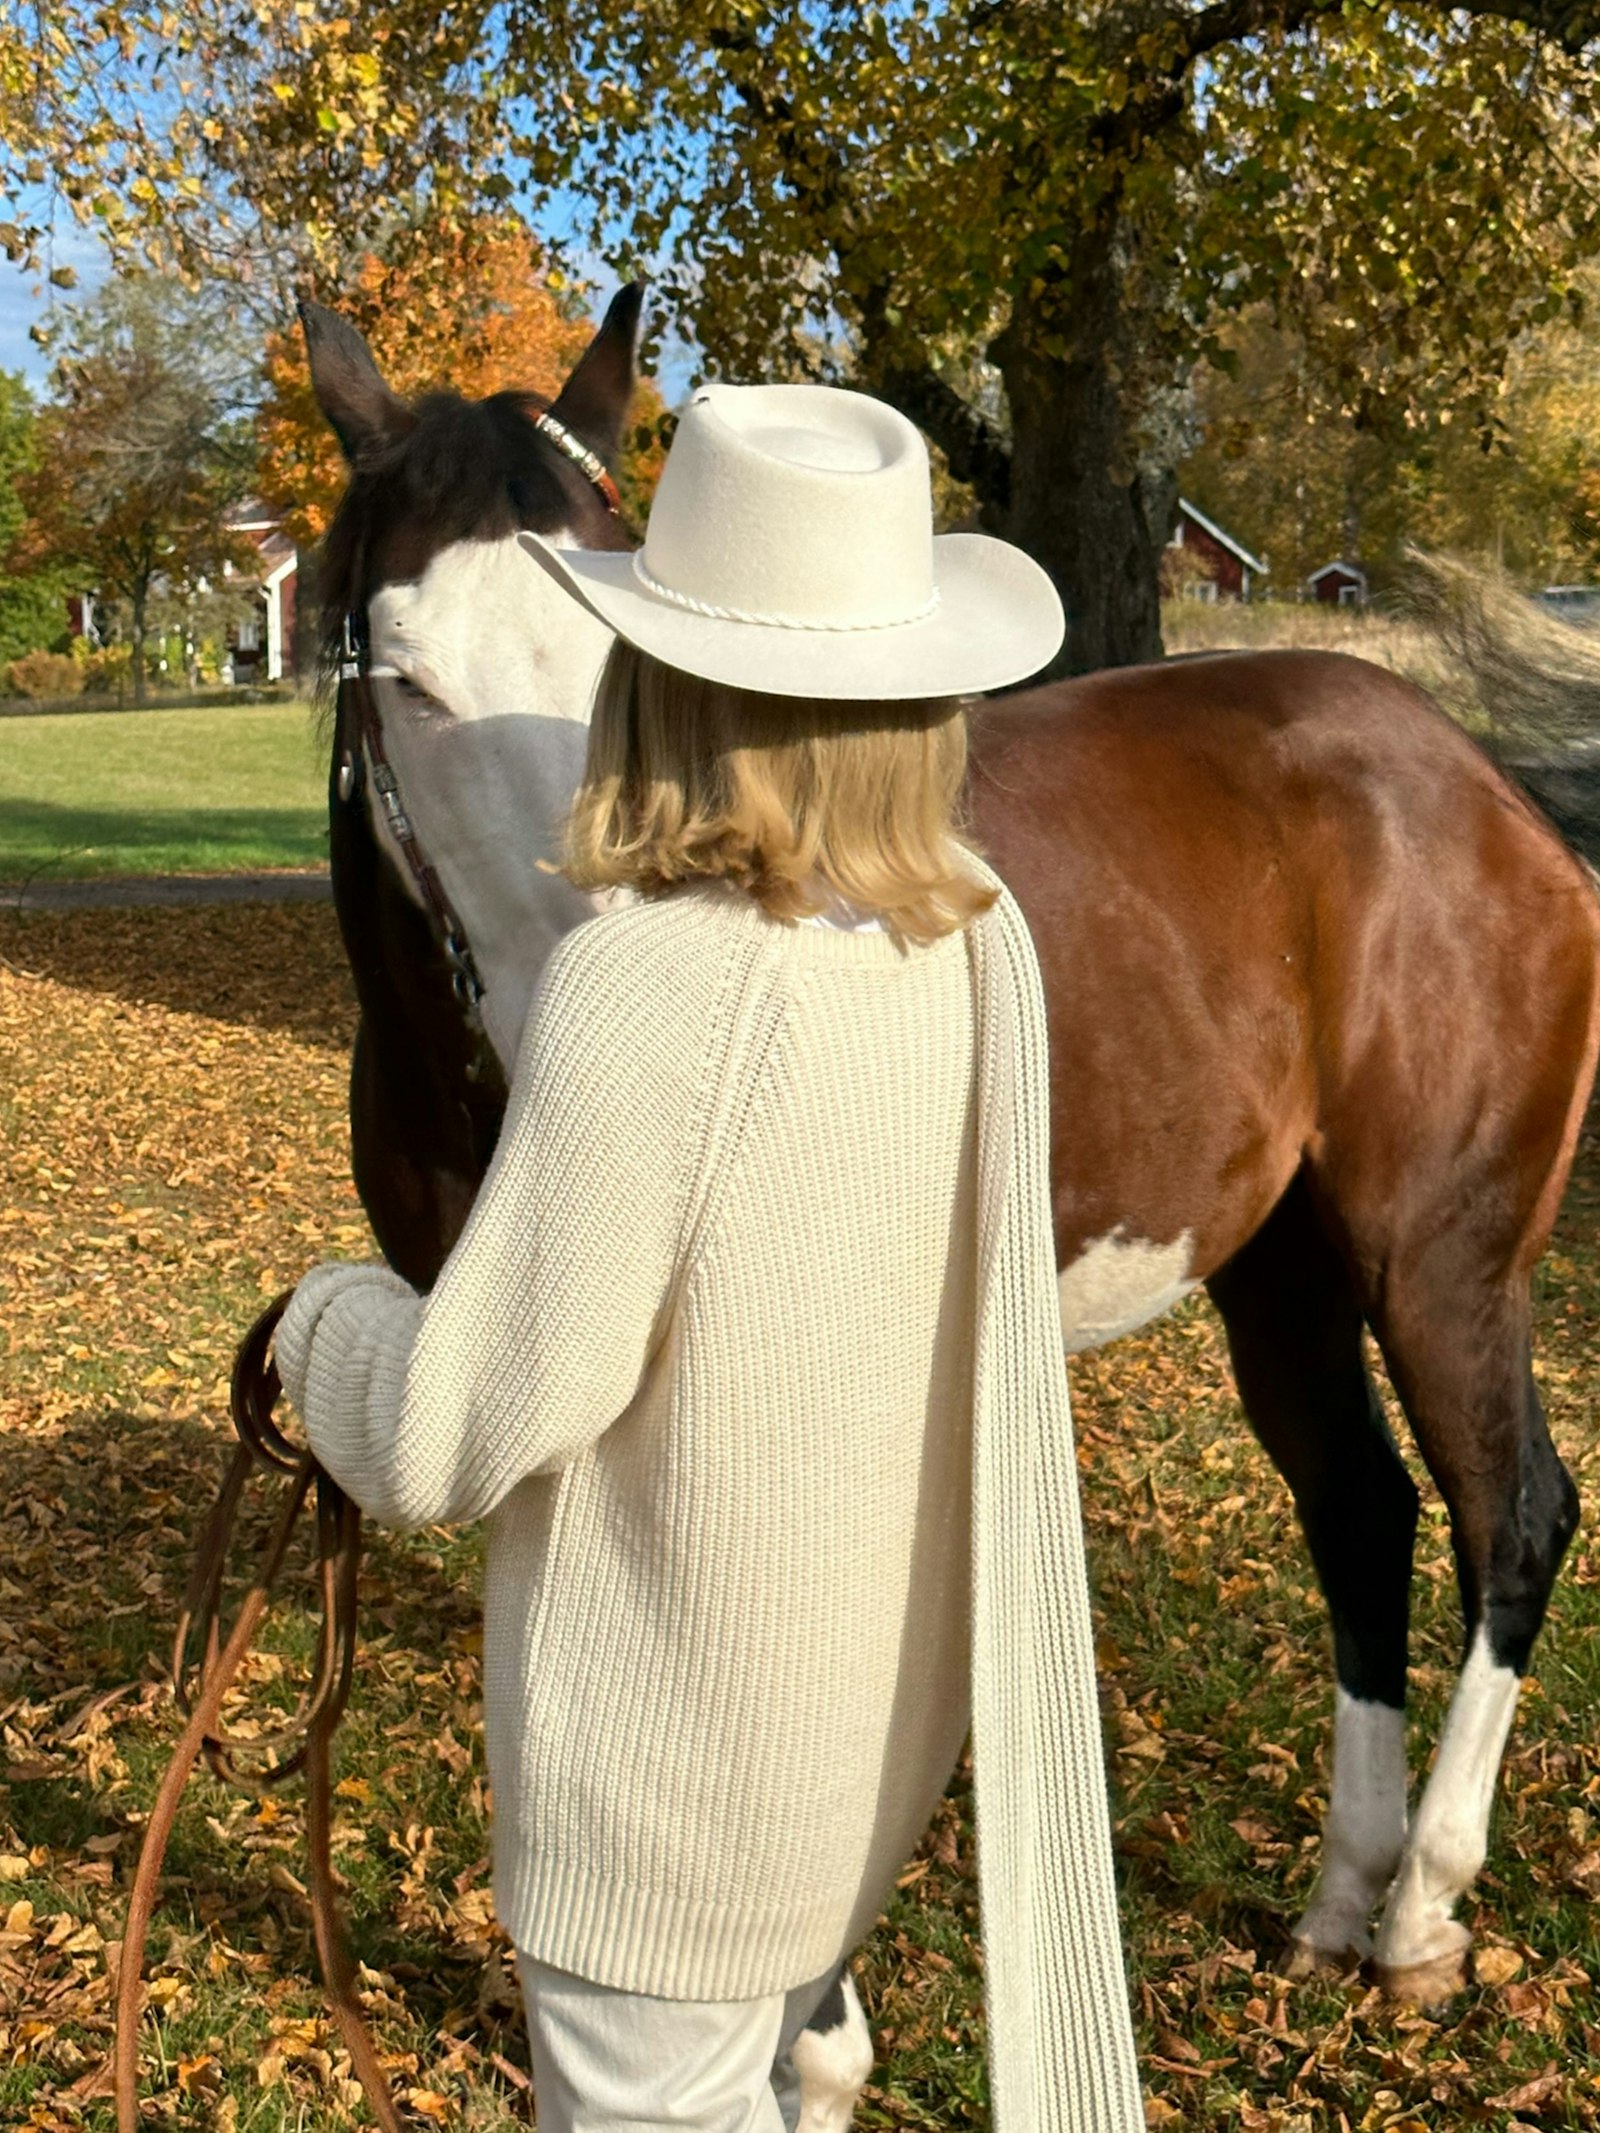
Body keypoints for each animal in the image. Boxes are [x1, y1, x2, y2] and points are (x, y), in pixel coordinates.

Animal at [298, 292, 1600, 2056]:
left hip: (1442, 1266)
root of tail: (1480, 790)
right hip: (1284, 1274)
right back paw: (1344, 1897)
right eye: (411, 682)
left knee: (1511, 1518)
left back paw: (1422, 1909)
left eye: (633, 664)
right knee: (1361, 1512)